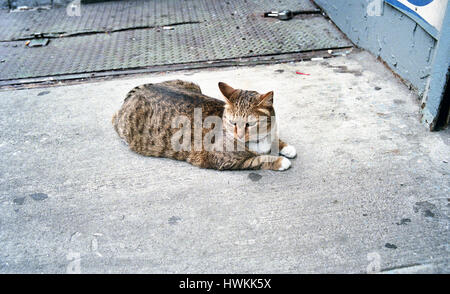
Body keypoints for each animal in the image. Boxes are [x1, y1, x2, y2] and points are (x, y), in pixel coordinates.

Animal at [111, 79, 296, 171]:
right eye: (233, 123)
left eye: (249, 124)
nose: (239, 136)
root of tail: (136, 93)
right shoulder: (222, 160)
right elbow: (258, 160)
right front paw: (280, 161)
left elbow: (276, 139)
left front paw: (286, 147)